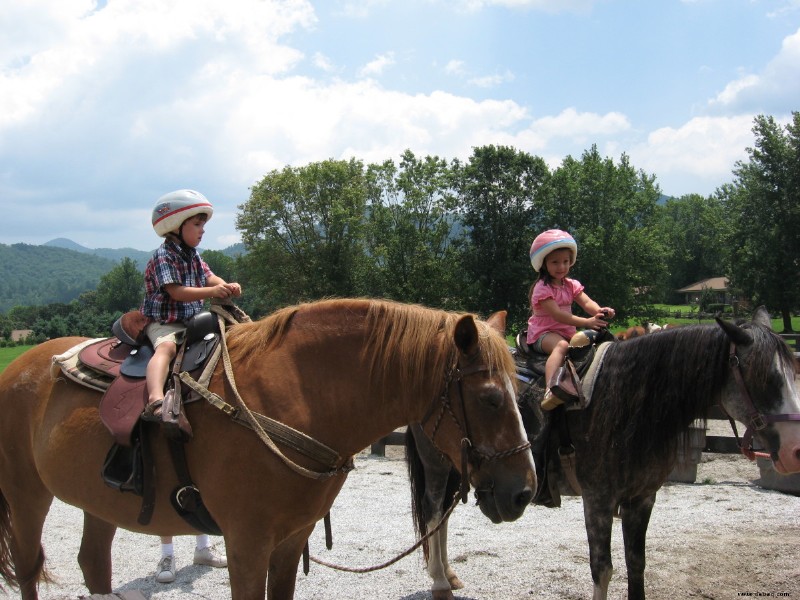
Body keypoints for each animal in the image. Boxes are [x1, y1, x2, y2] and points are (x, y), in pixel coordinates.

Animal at [1, 300, 536, 600]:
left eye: (521, 392)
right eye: (490, 399)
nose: (524, 492)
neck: (294, 400)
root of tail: (20, 367)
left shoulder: (290, 539)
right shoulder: (247, 543)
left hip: (98, 502)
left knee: (93, 564)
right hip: (26, 495)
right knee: (27, 568)